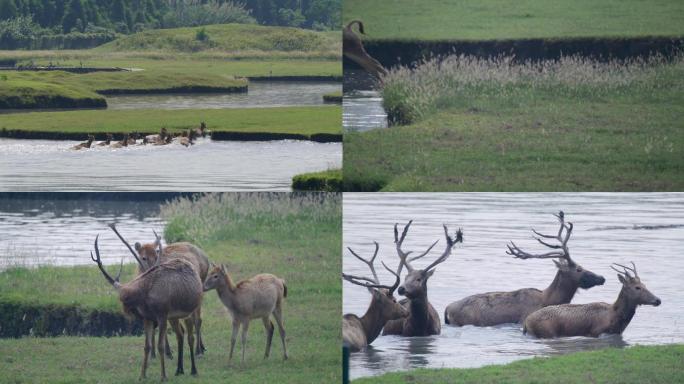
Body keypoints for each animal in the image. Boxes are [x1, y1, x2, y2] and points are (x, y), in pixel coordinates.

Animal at [89, 236, 200, 380]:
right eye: (121, 298)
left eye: (125, 298)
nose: (127, 312)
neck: (146, 297)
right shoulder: (148, 318)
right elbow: (147, 346)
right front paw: (142, 375)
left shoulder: (162, 315)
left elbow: (160, 346)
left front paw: (163, 376)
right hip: (174, 317)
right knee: (180, 334)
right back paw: (179, 370)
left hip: (190, 311)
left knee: (191, 336)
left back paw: (193, 369)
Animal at [109, 224, 211, 358]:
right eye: (143, 257)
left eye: (156, 255)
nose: (154, 268)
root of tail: (206, 257)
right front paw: (153, 353)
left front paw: (168, 352)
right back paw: (202, 347)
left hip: (199, 289)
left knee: (198, 319)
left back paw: (198, 350)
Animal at [524, 262, 664, 338]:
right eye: (637, 287)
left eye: (645, 285)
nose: (658, 300)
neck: (614, 317)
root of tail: (526, 323)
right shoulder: (595, 331)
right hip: (547, 331)